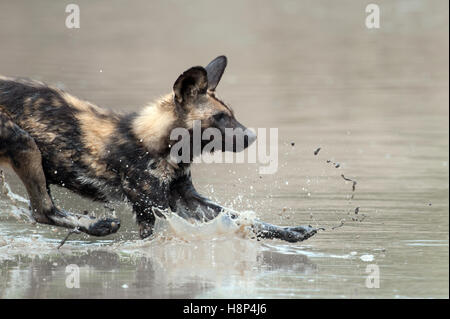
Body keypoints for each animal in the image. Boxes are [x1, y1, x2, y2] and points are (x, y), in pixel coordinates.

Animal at [0, 57, 316, 242]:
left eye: (232, 115)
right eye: (219, 118)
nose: (251, 136)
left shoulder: (186, 198)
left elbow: (240, 217)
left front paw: (292, 232)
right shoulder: (152, 206)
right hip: (24, 144)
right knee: (42, 210)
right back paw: (99, 226)